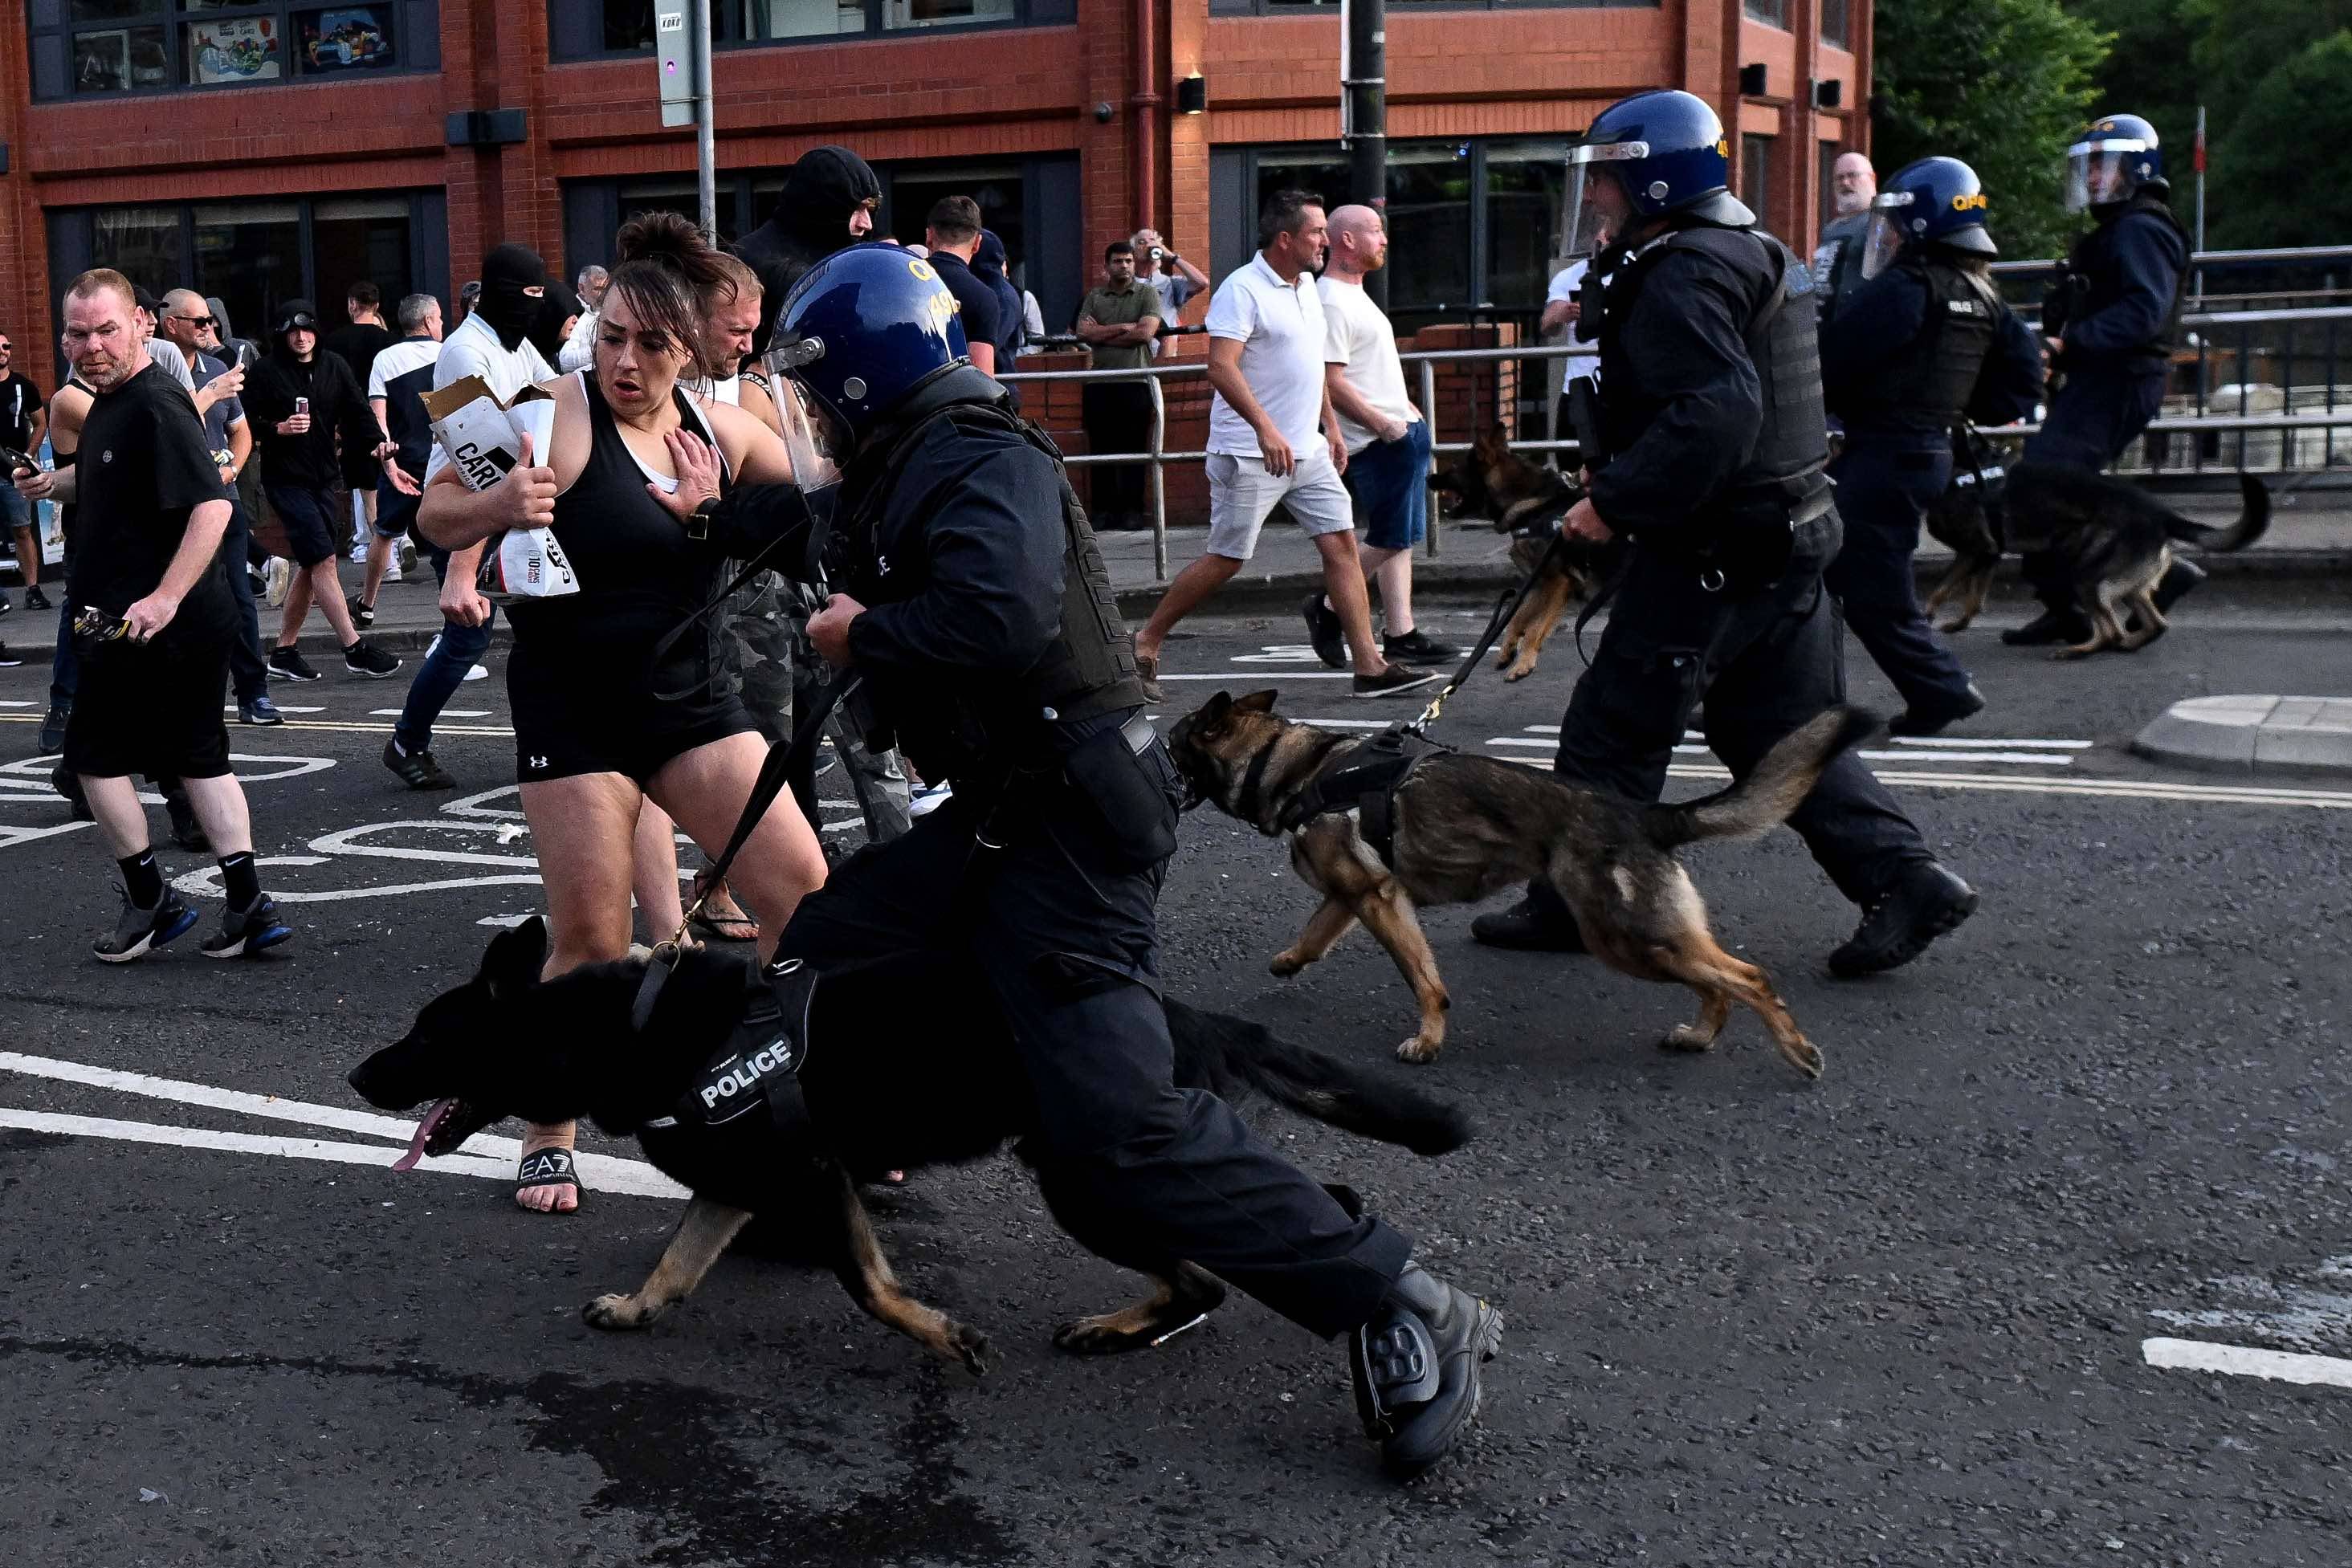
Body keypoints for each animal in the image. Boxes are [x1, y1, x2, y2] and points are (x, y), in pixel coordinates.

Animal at [343, 921, 1467, 1372]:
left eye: (425, 1037)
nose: (356, 1079)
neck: (622, 1028)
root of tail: (1179, 1014)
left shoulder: (813, 1176)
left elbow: (867, 1287)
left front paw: (939, 1336)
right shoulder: (738, 1185)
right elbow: (679, 1262)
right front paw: (636, 1308)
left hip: (1088, 1180)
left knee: (1217, 1261)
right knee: (1241, 1245)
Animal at [1166, 690, 1881, 1081]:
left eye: (1174, 743)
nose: (1152, 763)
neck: (1289, 764)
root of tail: (1642, 814)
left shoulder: (1377, 899)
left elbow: (1423, 979)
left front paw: (1428, 1039)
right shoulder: (1359, 895)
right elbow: (1316, 935)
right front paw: (1289, 961)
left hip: (1626, 938)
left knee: (1746, 976)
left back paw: (1794, 1050)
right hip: (1644, 940)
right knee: (1716, 982)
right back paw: (1699, 1034)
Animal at [1411, 423, 1618, 682]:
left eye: (1455, 468)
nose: (1428, 477)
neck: (1533, 505)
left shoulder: (1557, 582)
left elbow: (1534, 629)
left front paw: (1523, 664)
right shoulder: (1539, 584)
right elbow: (1517, 618)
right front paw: (1507, 650)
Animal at [1919, 442, 2267, 658]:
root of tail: (2162, 515)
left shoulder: (1975, 552)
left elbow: (1942, 588)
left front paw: (1926, 615)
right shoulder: (1989, 555)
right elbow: (1974, 598)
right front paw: (1958, 622)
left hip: (2085, 575)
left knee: (2111, 630)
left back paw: (2078, 651)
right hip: (2127, 585)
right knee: (2154, 624)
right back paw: (2126, 644)